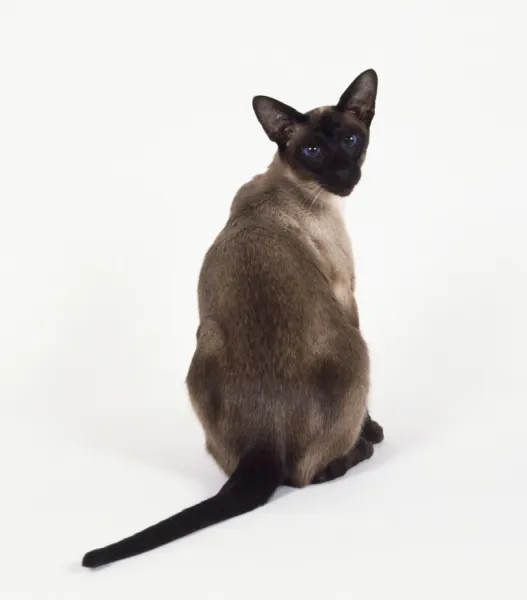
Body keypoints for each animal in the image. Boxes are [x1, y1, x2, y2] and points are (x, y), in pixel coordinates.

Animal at [84, 68, 386, 568]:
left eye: (350, 138)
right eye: (312, 151)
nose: (344, 174)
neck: (292, 186)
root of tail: (265, 441)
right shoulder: (347, 295)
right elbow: (364, 412)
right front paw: (372, 430)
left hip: (201, 347)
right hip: (356, 351)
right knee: (305, 476)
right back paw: (358, 450)